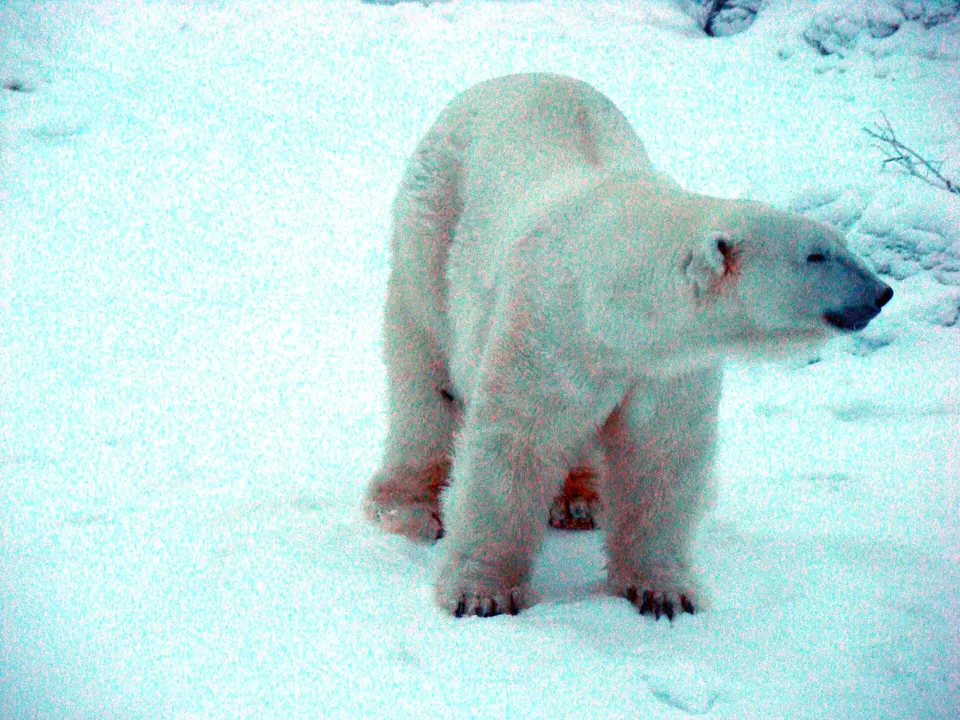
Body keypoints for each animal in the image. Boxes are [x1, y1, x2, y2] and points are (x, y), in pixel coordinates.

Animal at [363, 72, 893, 620]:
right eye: (816, 255)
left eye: (843, 244)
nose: (881, 293)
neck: (610, 304)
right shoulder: (547, 323)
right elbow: (515, 441)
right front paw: (482, 594)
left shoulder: (668, 365)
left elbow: (660, 456)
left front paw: (664, 592)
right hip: (432, 223)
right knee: (425, 373)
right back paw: (409, 505)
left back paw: (580, 499)